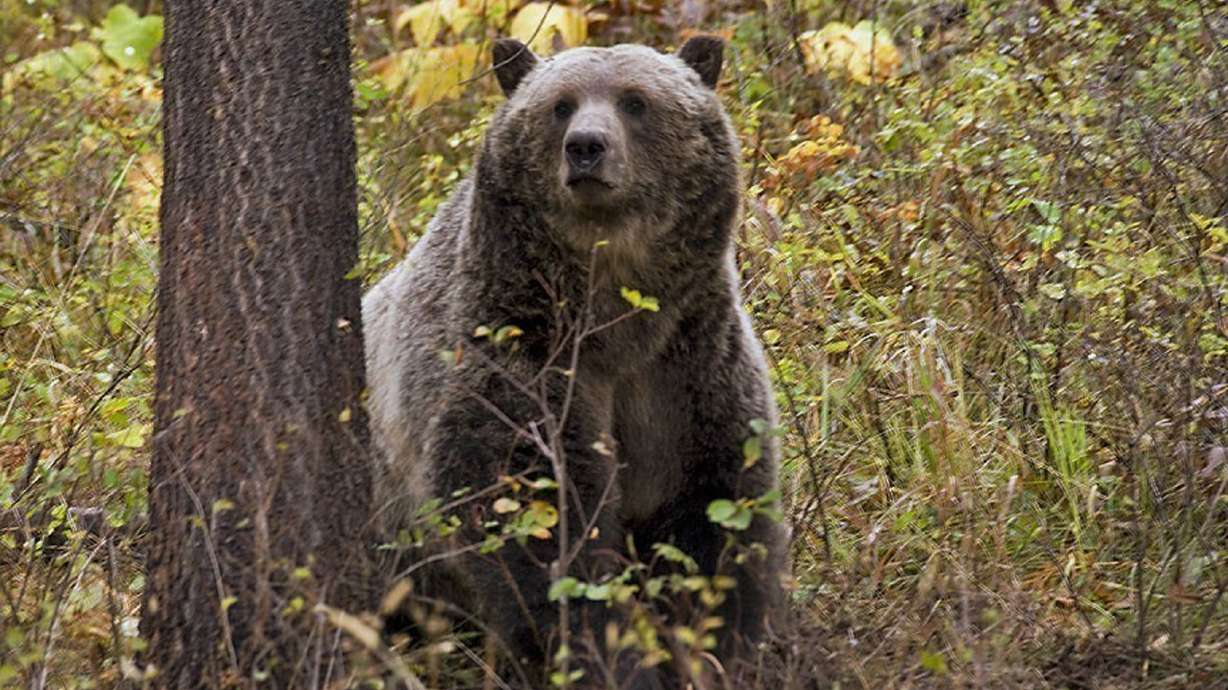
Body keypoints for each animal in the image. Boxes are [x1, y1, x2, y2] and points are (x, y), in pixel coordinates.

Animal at [362, 35, 785, 687]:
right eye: (560, 104)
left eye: (635, 100)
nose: (586, 146)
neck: (615, 315)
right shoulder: (520, 351)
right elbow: (537, 518)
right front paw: (606, 656)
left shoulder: (688, 366)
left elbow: (715, 512)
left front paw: (721, 645)